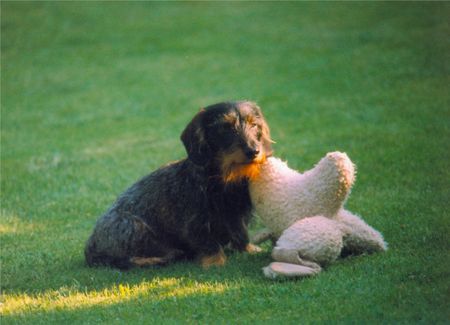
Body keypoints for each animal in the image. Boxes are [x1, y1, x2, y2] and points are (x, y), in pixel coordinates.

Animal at [85, 101, 272, 268]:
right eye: (226, 127)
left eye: (254, 124)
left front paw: (248, 249)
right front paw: (215, 262)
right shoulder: (196, 220)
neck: (225, 180)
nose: (254, 151)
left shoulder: (237, 216)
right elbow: (207, 241)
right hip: (133, 224)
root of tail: (90, 247)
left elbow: (241, 233)